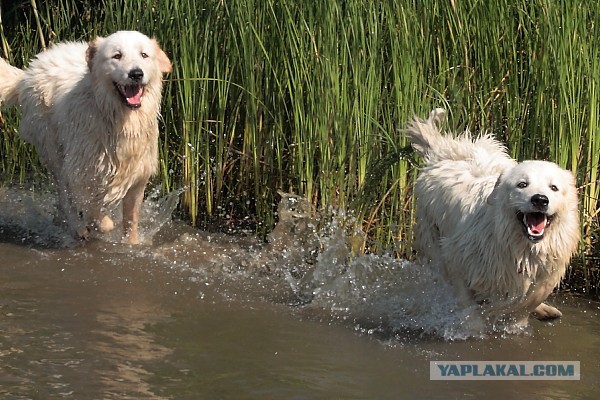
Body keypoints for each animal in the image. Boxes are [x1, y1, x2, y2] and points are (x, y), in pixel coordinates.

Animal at [0, 30, 173, 244]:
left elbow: (130, 222)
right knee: (64, 197)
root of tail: (30, 70)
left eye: (144, 55)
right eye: (117, 56)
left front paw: (130, 244)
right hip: (53, 151)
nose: (136, 74)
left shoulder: (137, 179)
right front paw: (98, 224)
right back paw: (78, 229)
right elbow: (96, 213)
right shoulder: (79, 173)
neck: (119, 119)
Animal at [406, 108, 580, 330]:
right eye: (522, 184)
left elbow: (527, 301)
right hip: (432, 240)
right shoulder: (455, 256)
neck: (520, 247)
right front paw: (474, 325)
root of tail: (444, 153)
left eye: (554, 187)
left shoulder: (544, 274)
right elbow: (466, 301)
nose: (540, 200)